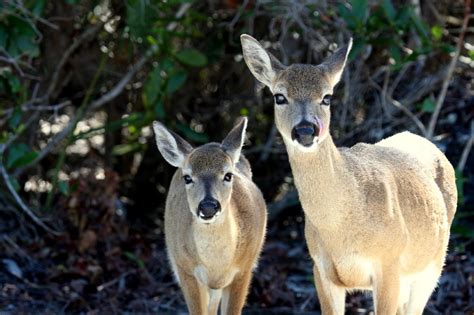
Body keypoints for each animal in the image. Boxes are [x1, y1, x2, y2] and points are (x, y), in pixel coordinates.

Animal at [155, 118, 268, 315]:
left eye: (228, 175)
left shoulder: (244, 270)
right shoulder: (186, 270)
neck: (216, 266)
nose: (208, 206)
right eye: (187, 177)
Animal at [243, 34, 458, 315]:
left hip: (432, 265)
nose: (305, 130)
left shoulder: (389, 263)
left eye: (326, 97)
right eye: (279, 97)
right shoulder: (321, 270)